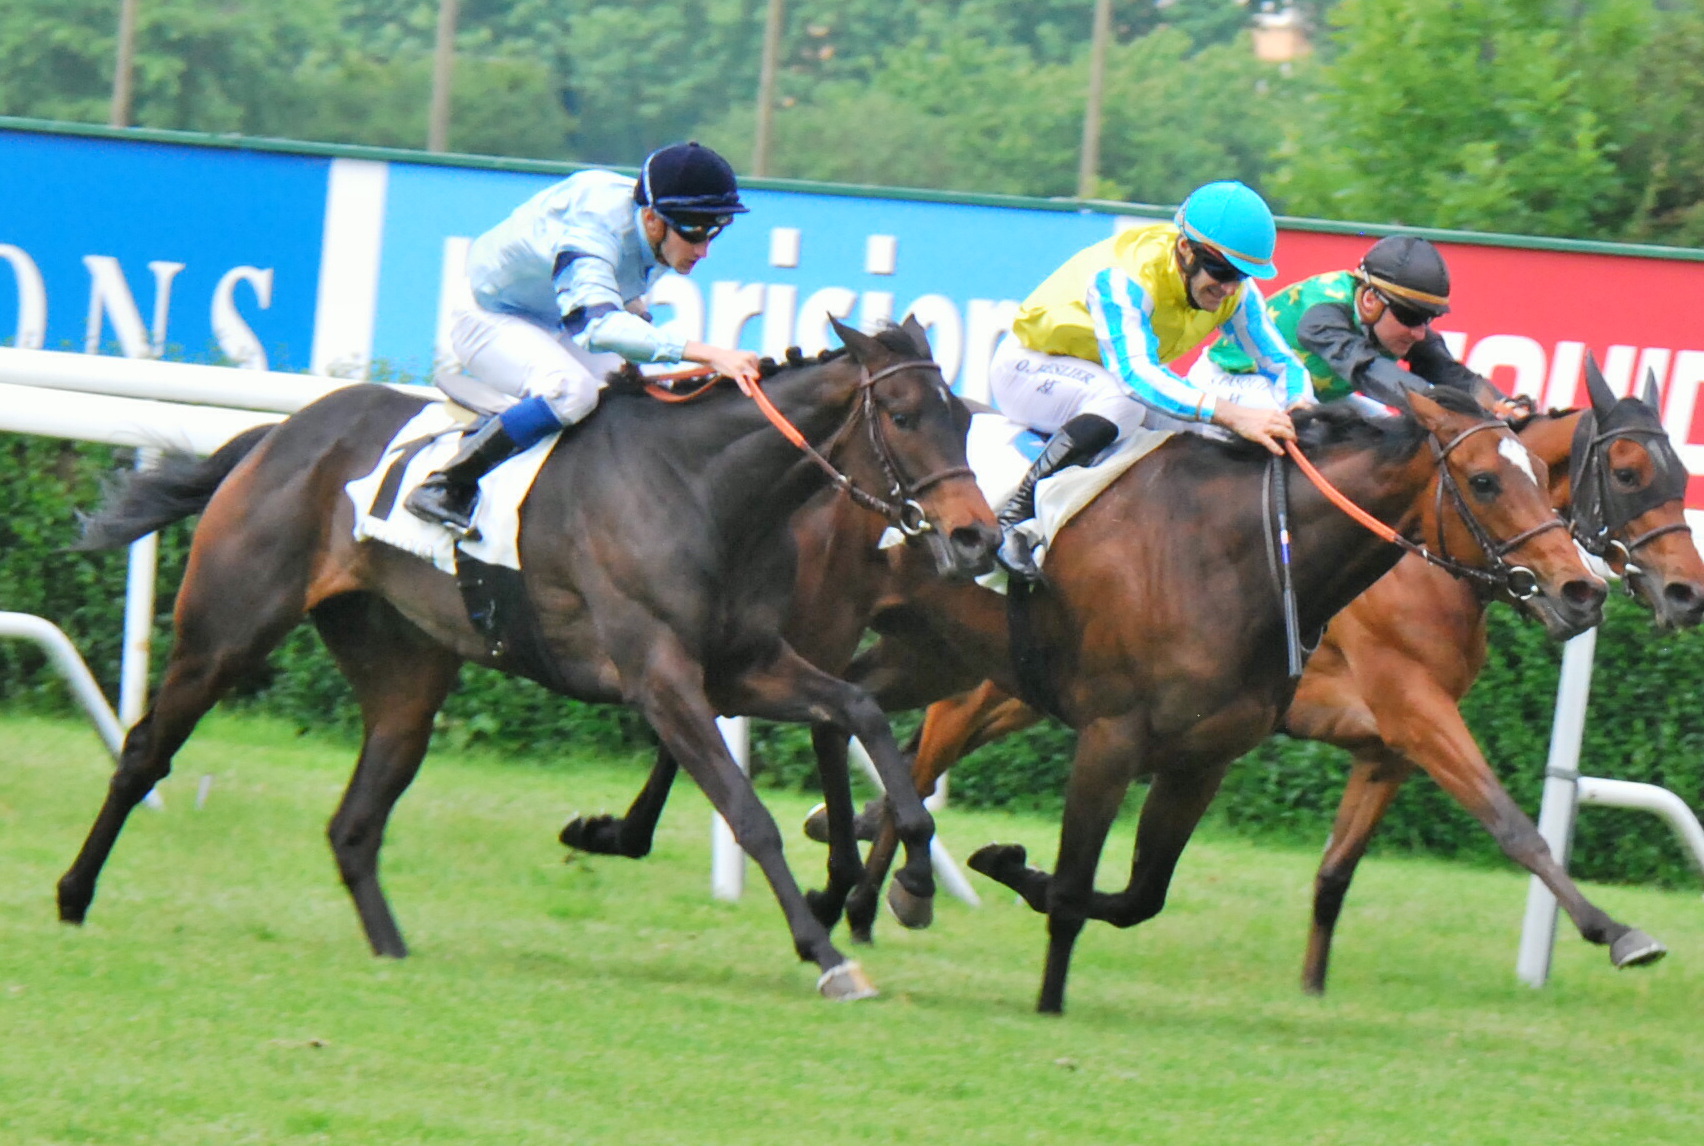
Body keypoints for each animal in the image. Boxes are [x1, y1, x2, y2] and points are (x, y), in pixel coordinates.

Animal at [53, 316, 995, 994]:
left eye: (964, 418)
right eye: (904, 417)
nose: (976, 537)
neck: (706, 489)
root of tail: (277, 435)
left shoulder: (746, 665)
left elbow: (861, 713)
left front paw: (910, 878)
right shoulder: (661, 678)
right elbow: (748, 813)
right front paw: (824, 951)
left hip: (404, 671)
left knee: (354, 823)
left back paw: (393, 950)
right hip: (228, 630)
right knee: (145, 752)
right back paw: (72, 896)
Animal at [845, 364, 1697, 994]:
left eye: (1681, 471)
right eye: (1628, 472)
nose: (1684, 591)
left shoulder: (1385, 749)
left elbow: (1334, 873)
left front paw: (1313, 987)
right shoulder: (1414, 709)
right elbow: (1512, 825)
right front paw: (1617, 931)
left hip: (1017, 692)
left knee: (917, 759)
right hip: (988, 685)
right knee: (924, 757)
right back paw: (879, 894)